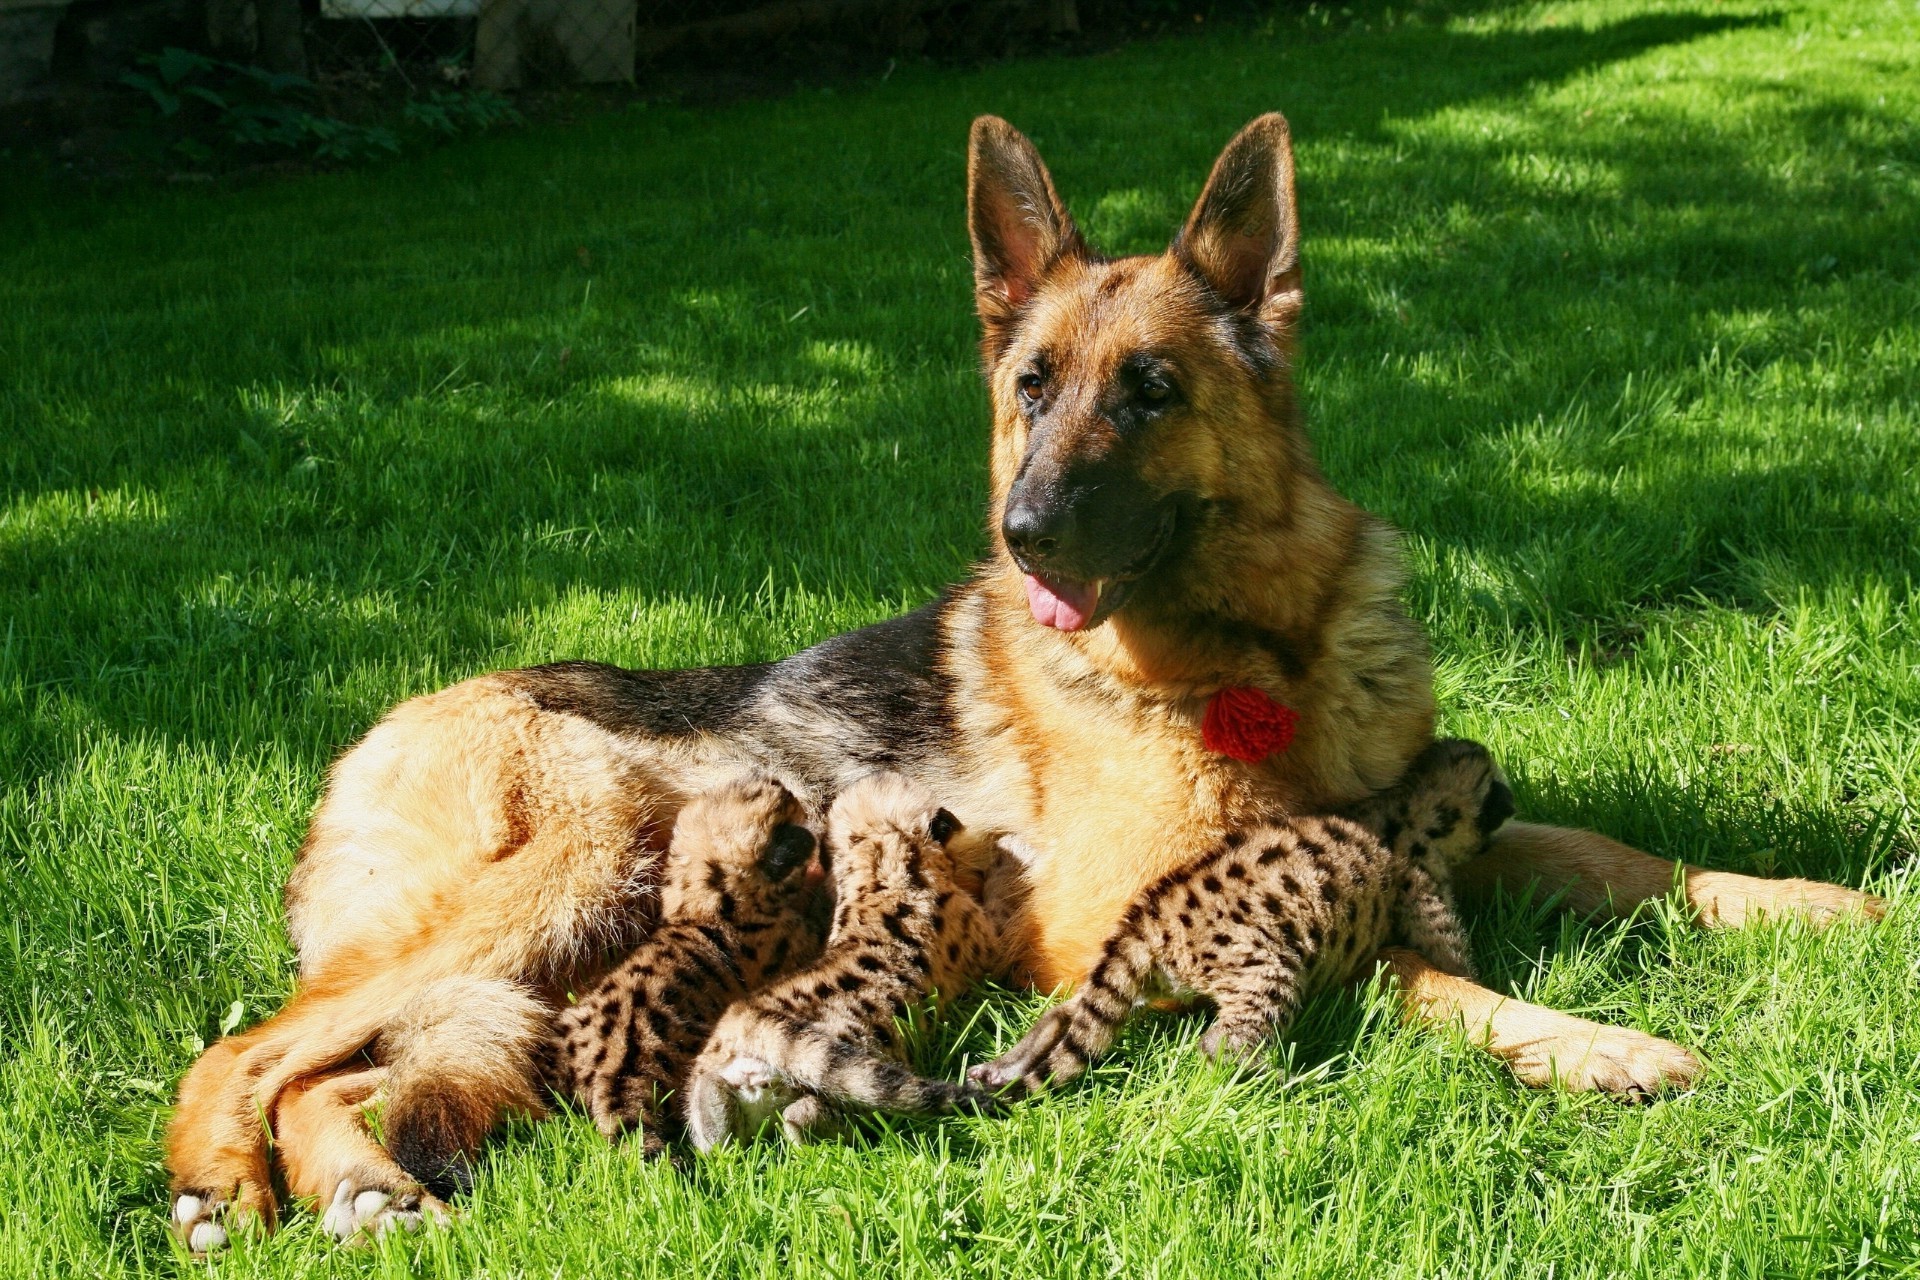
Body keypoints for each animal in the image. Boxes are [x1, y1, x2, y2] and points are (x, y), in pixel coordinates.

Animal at [161, 112, 1873, 1251]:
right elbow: (1419, 970)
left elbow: (1619, 851)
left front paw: (1809, 904)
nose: (1024, 532)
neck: (1259, 655)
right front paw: (1599, 1044)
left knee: (350, 1065)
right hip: (565, 875)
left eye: (1153, 390)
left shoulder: (1427, 819)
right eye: (1032, 390)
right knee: (247, 1052)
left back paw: (357, 1180)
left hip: (546, 957)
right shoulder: (1154, 904)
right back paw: (234, 1185)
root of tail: (373, 732)